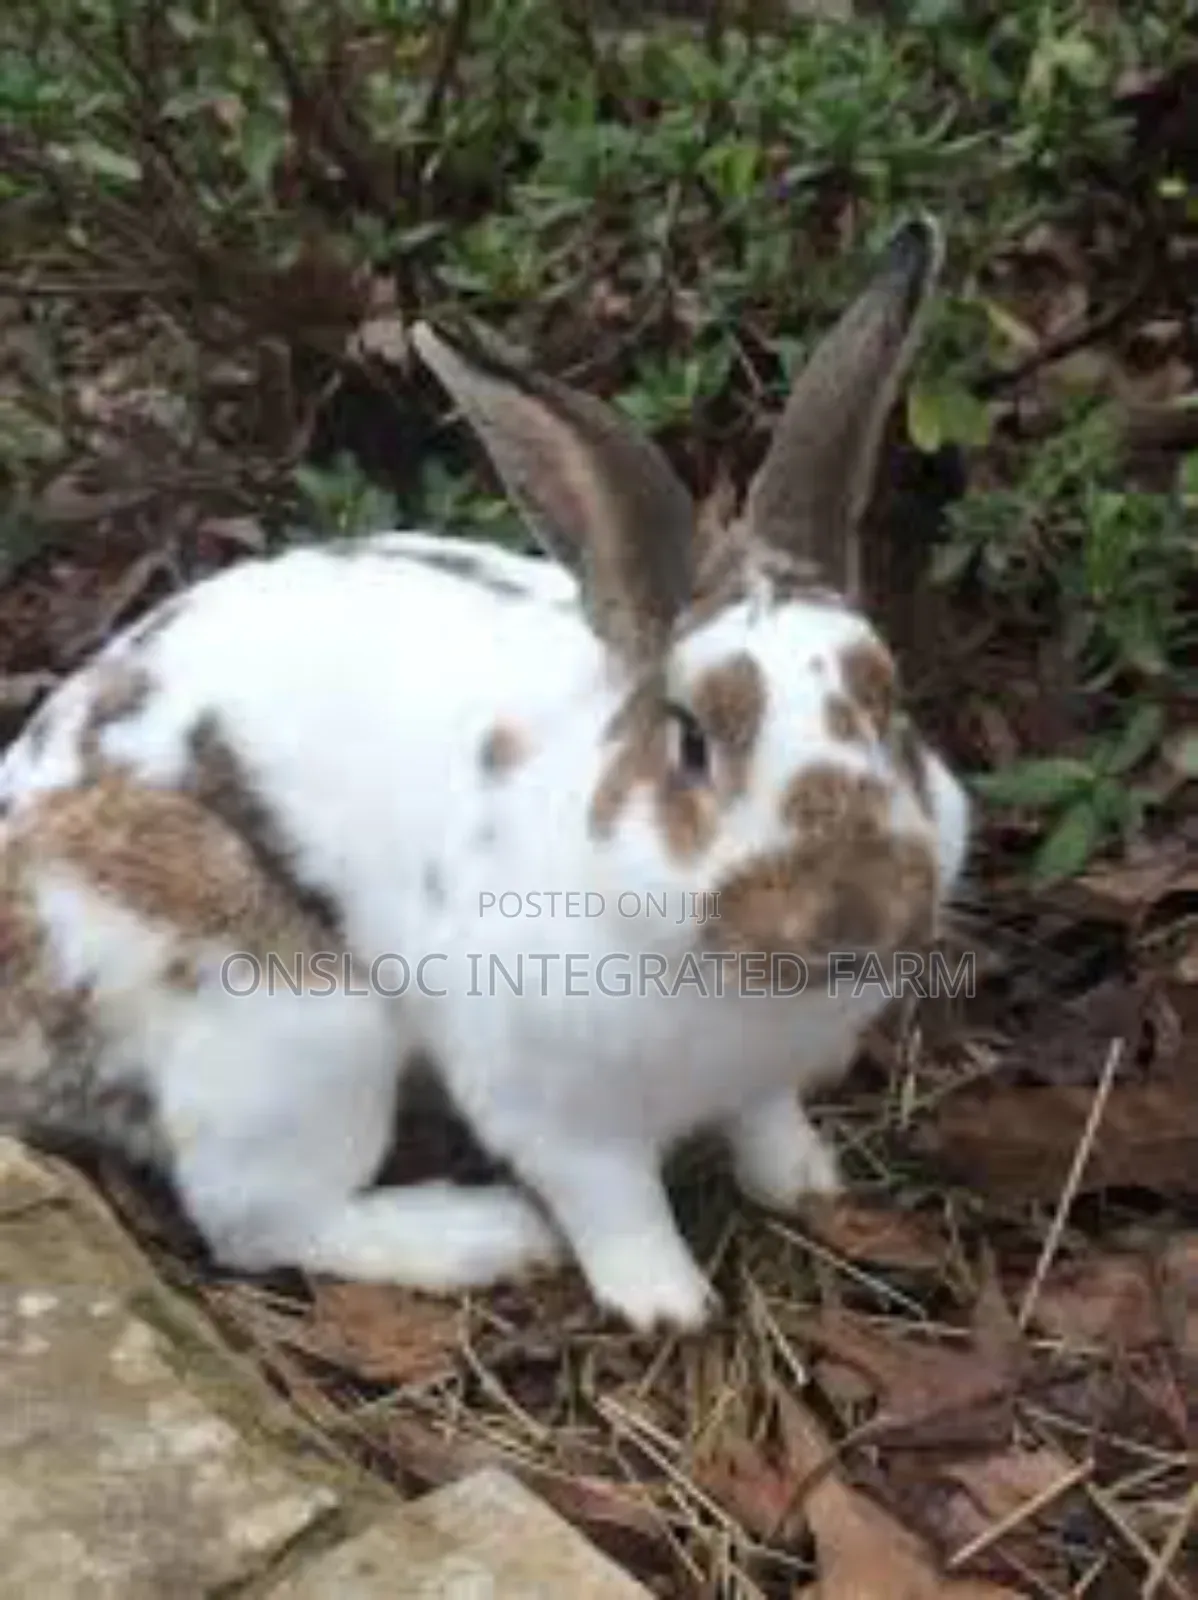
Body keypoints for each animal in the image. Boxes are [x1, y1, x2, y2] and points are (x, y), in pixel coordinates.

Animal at [0, 214, 970, 1333]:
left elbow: (766, 1123)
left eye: (891, 707)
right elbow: (616, 1205)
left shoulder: (763, 1079)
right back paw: (481, 1235)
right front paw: (668, 1305)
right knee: (263, 1224)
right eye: (689, 738)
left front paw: (806, 1185)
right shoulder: (558, 1115)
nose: (854, 917)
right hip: (287, 1031)